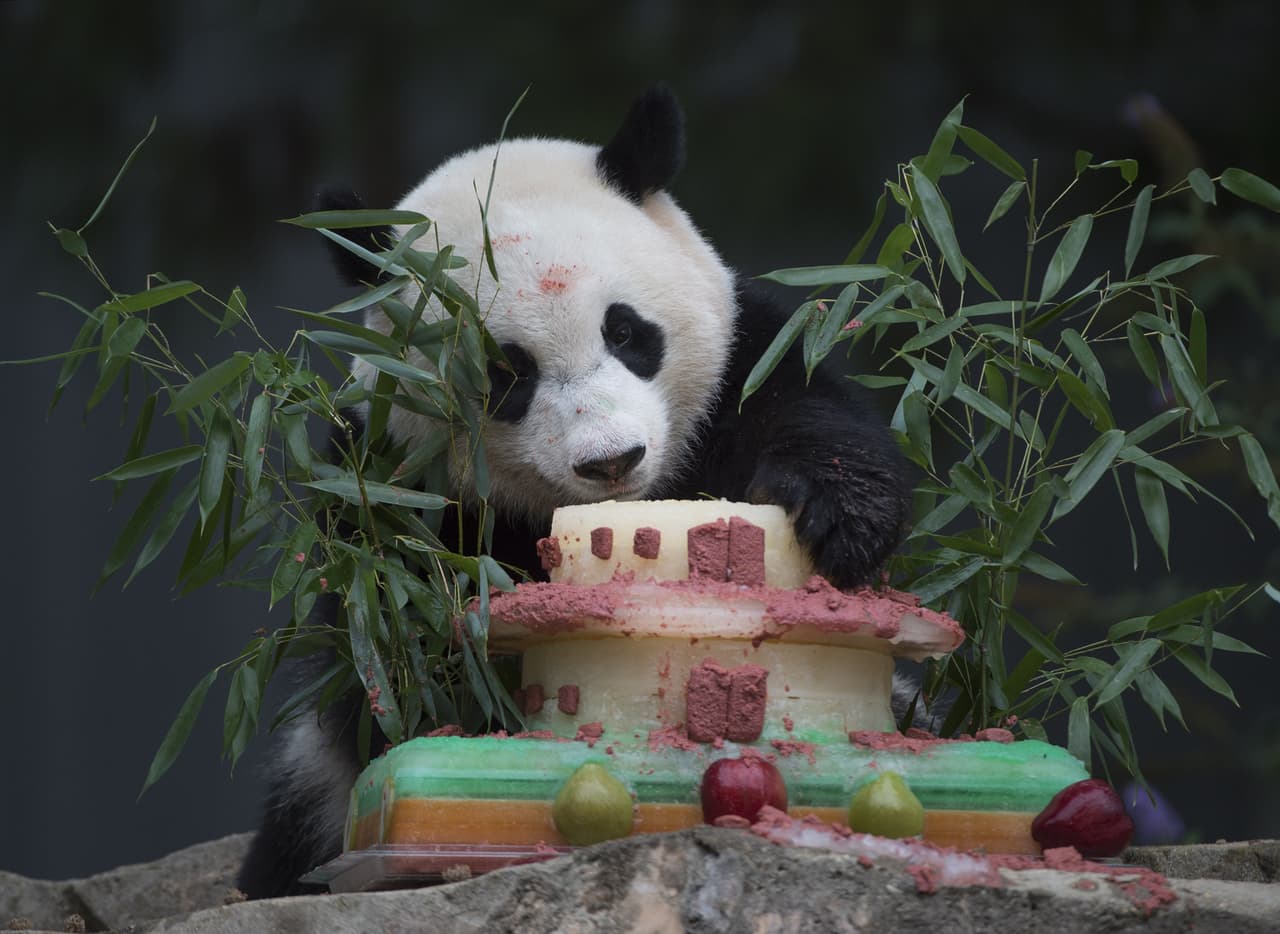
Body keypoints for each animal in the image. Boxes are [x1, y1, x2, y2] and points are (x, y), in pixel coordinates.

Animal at [236, 86, 913, 899]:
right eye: (507, 374)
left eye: (625, 331)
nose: (612, 460)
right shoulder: (386, 492)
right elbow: (395, 672)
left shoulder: (741, 363)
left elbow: (802, 406)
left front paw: (842, 519)